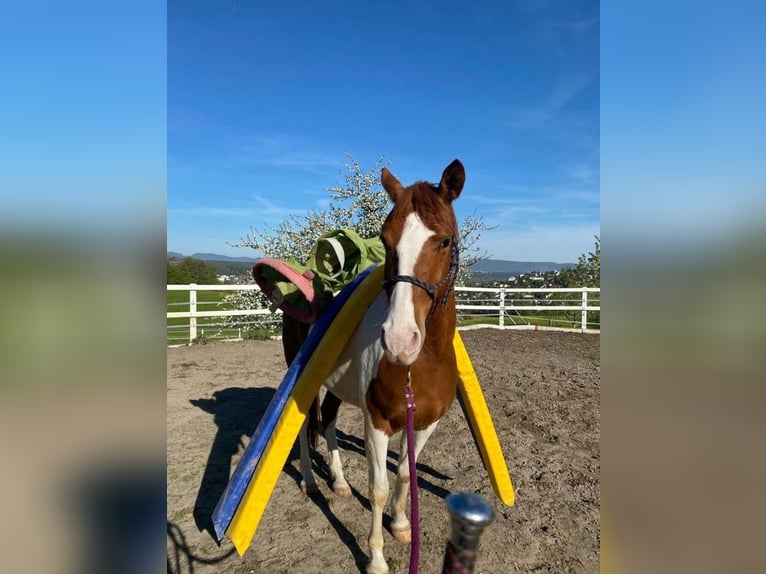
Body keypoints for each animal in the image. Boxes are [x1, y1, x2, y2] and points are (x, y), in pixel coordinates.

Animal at [280, 159, 462, 574]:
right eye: (385, 239)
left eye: (445, 241)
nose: (399, 340)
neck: (421, 364)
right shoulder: (376, 423)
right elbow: (378, 489)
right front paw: (376, 557)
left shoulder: (425, 423)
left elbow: (405, 473)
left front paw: (401, 525)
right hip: (304, 383)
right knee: (306, 428)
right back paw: (311, 482)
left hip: (335, 386)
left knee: (328, 422)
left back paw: (339, 483)